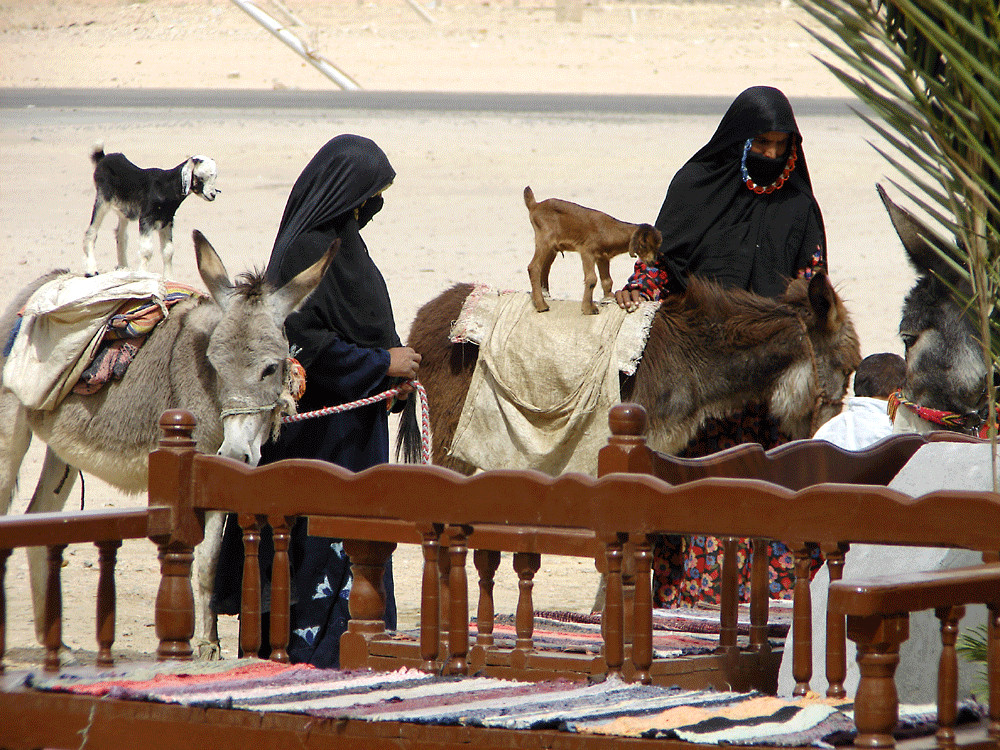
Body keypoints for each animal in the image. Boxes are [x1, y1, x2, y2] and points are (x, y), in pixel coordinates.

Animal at [83, 142, 221, 278]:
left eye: (214, 177)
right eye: (200, 177)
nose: (212, 195)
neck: (166, 187)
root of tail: (102, 158)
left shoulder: (167, 221)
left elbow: (168, 251)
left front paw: (169, 278)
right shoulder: (146, 219)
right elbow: (147, 250)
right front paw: (143, 274)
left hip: (124, 210)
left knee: (121, 235)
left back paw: (123, 268)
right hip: (102, 201)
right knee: (91, 233)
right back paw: (91, 270)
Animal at [524, 189, 664, 318]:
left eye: (658, 246)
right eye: (644, 245)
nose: (652, 261)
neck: (611, 230)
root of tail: (535, 205)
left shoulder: (603, 257)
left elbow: (607, 281)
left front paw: (608, 298)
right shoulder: (587, 251)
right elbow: (592, 279)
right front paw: (588, 308)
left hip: (552, 248)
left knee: (545, 268)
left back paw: (543, 295)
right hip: (544, 240)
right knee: (534, 267)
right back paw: (542, 305)